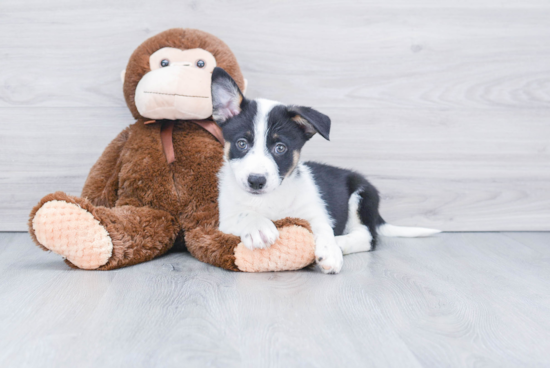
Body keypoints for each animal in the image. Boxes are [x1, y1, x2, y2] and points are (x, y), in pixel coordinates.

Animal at [210, 67, 440, 274]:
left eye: (280, 148)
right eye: (242, 143)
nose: (256, 181)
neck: (269, 199)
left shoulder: (315, 211)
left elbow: (323, 227)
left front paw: (330, 250)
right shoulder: (224, 220)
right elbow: (244, 214)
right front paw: (258, 226)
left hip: (361, 196)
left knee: (367, 237)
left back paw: (340, 243)